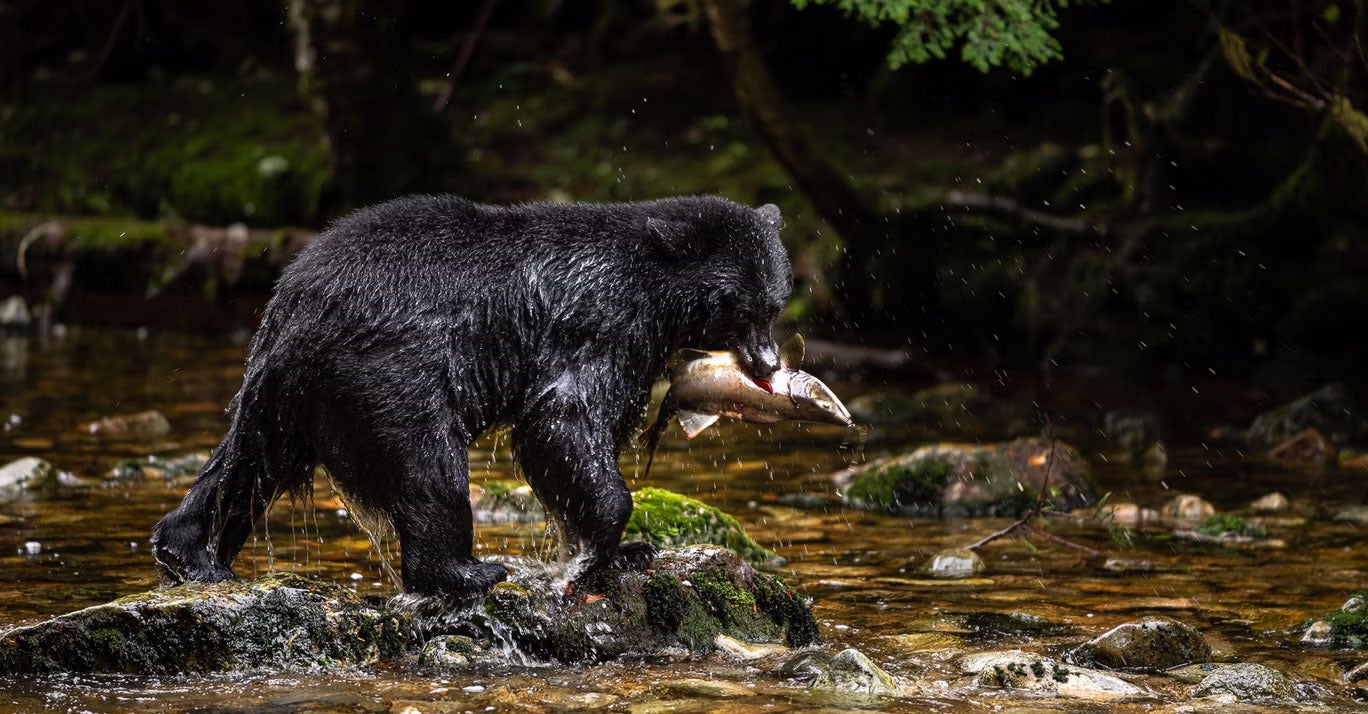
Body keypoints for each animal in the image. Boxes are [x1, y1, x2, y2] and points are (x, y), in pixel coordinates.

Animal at [150, 194, 792, 600]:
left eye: (775, 305)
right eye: (741, 308)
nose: (769, 365)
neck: (657, 292)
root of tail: (292, 301)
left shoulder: (639, 347)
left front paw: (619, 551)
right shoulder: (599, 318)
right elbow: (561, 418)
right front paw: (604, 544)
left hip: (285, 393)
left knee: (246, 462)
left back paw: (190, 552)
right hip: (387, 373)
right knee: (428, 465)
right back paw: (465, 572)